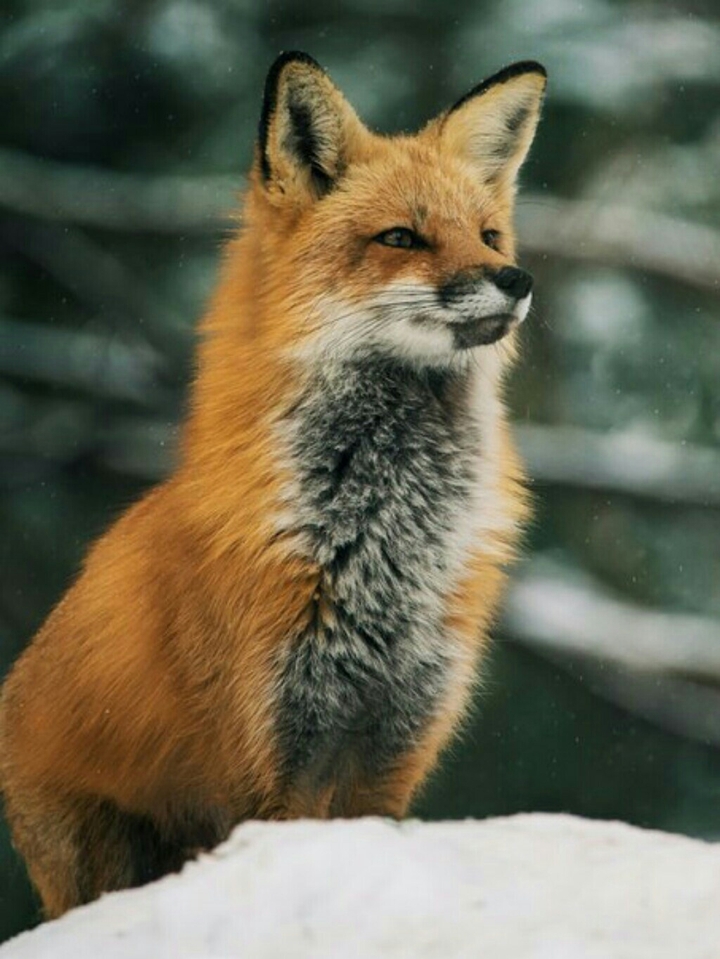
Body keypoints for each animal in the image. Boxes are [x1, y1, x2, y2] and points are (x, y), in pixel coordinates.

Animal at [0, 51, 545, 917]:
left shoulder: (396, 744)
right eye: (402, 237)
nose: (515, 277)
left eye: (488, 234)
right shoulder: (270, 755)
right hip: (103, 860)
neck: (384, 547)